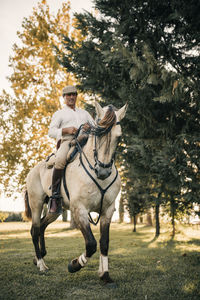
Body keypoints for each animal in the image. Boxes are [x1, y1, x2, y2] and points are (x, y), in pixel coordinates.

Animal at [24, 101, 126, 286]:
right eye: (98, 134)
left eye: (119, 137)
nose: (103, 171)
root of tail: (32, 171)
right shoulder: (80, 210)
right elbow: (91, 244)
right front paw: (74, 265)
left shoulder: (107, 211)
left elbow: (104, 243)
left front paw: (104, 274)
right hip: (36, 205)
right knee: (35, 230)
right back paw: (41, 265)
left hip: (54, 210)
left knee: (42, 226)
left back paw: (39, 257)